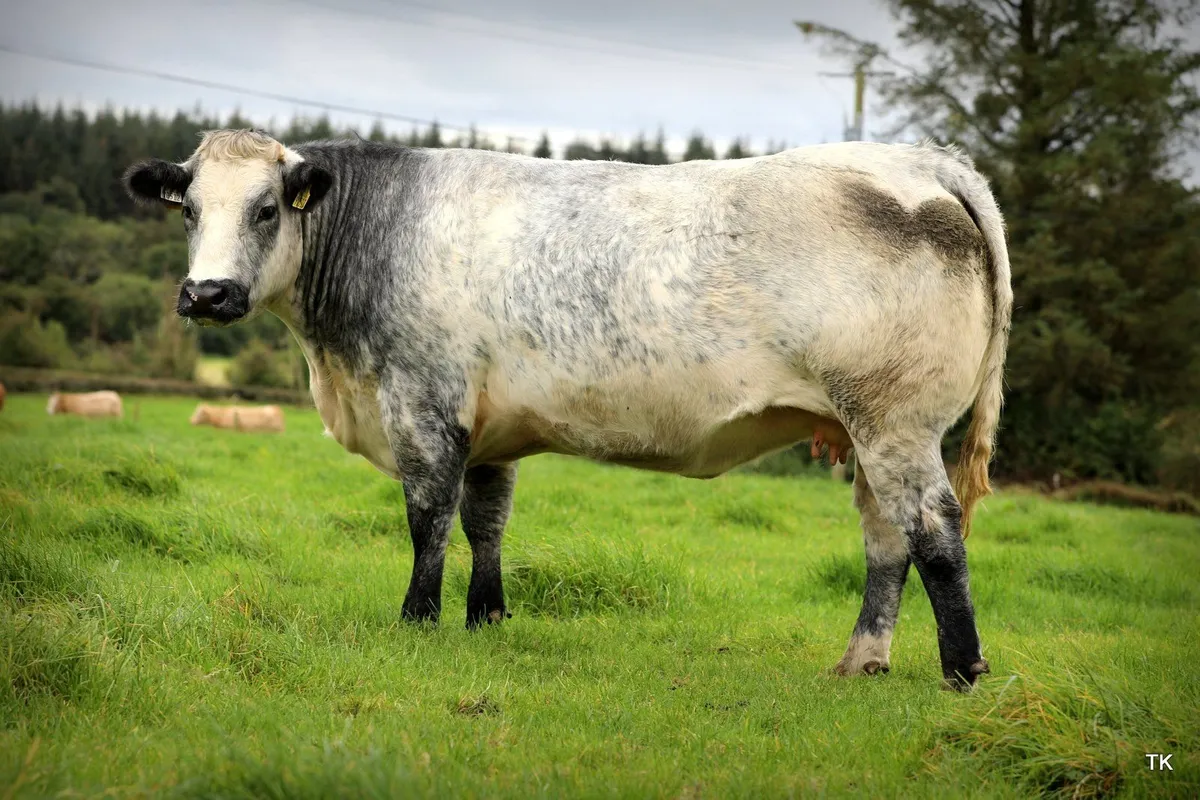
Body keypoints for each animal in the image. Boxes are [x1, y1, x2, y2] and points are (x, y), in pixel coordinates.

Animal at [124, 129, 1012, 690]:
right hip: (867, 432)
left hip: (895, 423)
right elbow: (485, 522)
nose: (207, 294)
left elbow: (428, 520)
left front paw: (417, 620)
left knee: (934, 531)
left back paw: (962, 669)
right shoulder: (487, 427)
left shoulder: (422, 404)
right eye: (189, 209)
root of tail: (923, 162)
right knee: (886, 540)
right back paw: (863, 659)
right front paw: (486, 618)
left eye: (267, 208)